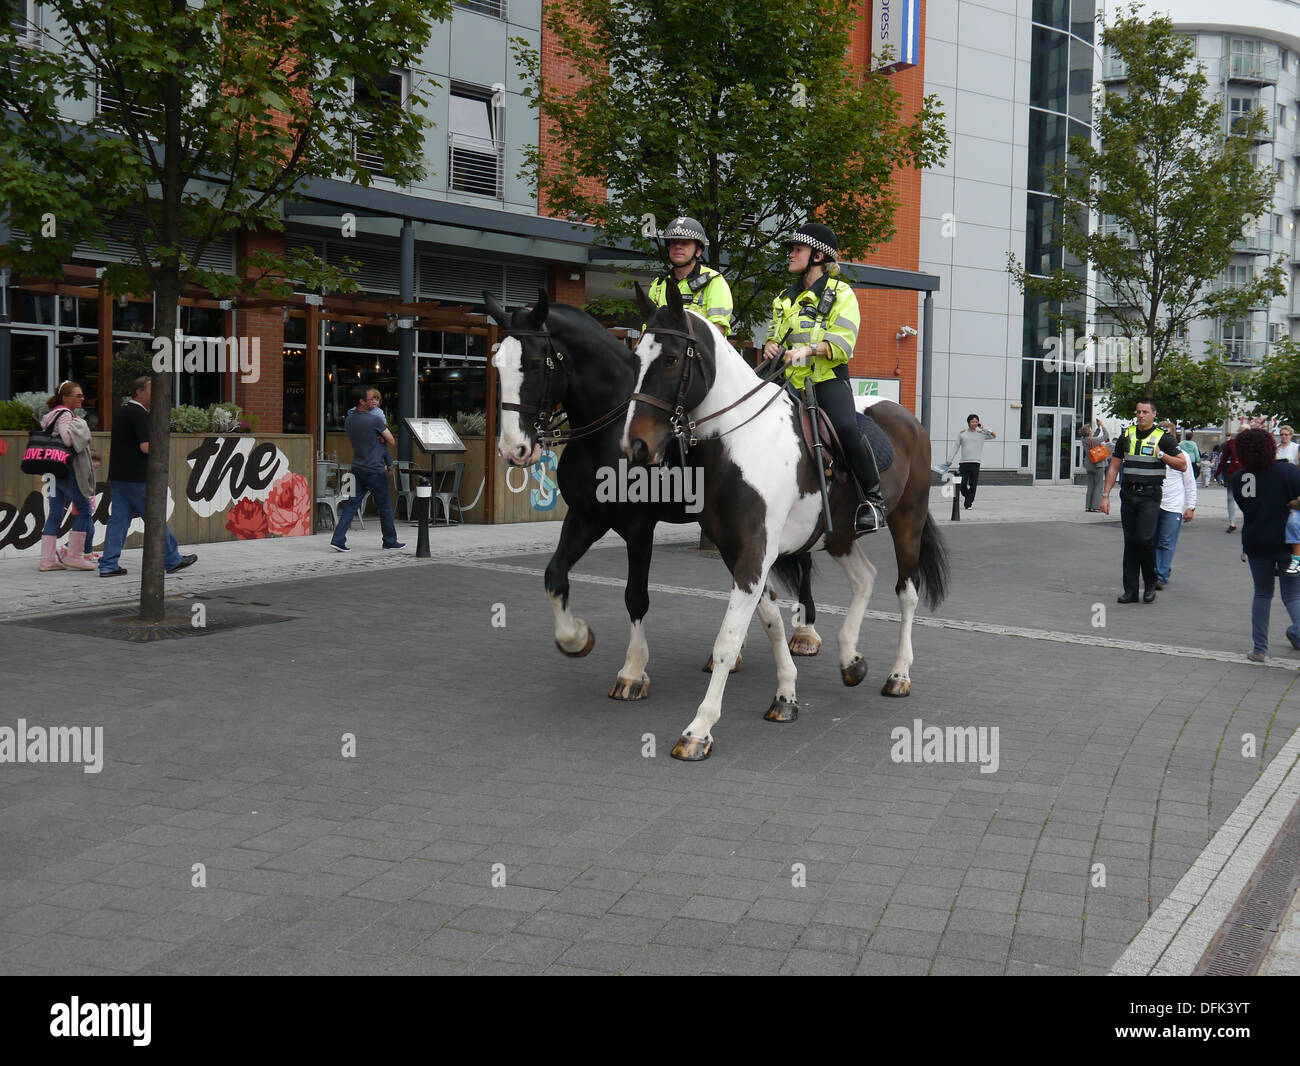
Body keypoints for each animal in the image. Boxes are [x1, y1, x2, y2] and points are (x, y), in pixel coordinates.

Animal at [488, 289, 821, 702]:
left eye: (534, 363)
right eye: (496, 363)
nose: (514, 449)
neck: (607, 431)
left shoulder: (638, 527)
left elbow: (636, 595)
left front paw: (632, 671)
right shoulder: (585, 517)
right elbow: (554, 575)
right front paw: (576, 638)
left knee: (803, 563)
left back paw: (806, 633)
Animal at [624, 279, 951, 764]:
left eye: (669, 359)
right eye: (635, 359)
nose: (637, 447)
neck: (741, 439)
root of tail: (906, 416)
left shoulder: (755, 551)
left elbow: (728, 640)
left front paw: (699, 730)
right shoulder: (737, 551)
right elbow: (771, 623)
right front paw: (785, 697)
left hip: (907, 520)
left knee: (906, 593)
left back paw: (898, 675)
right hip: (839, 533)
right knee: (865, 578)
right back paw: (851, 660)